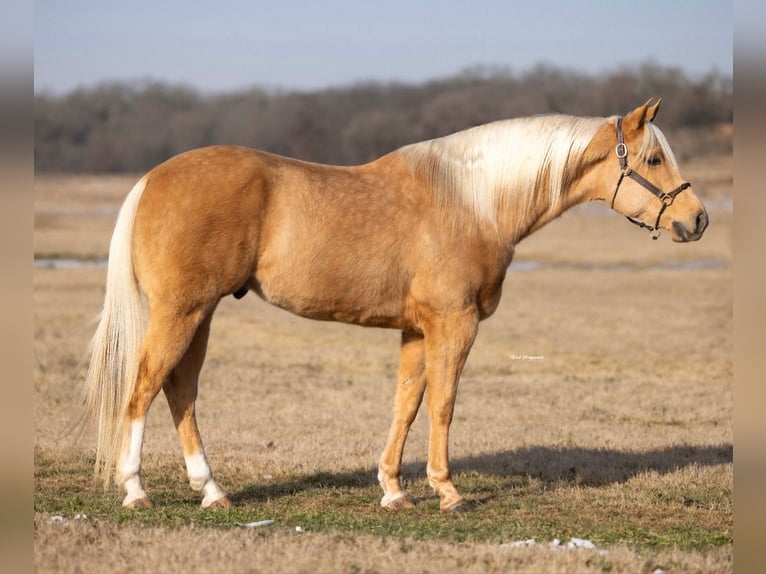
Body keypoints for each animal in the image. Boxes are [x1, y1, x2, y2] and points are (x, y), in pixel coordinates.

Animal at [80, 99, 708, 512]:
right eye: (654, 160)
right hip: (181, 312)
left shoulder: (416, 331)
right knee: (143, 386)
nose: (697, 219)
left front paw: (394, 490)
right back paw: (135, 489)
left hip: (201, 314)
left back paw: (212, 492)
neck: (472, 202)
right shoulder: (454, 325)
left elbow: (406, 405)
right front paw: (447, 492)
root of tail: (151, 180)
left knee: (179, 390)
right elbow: (444, 405)